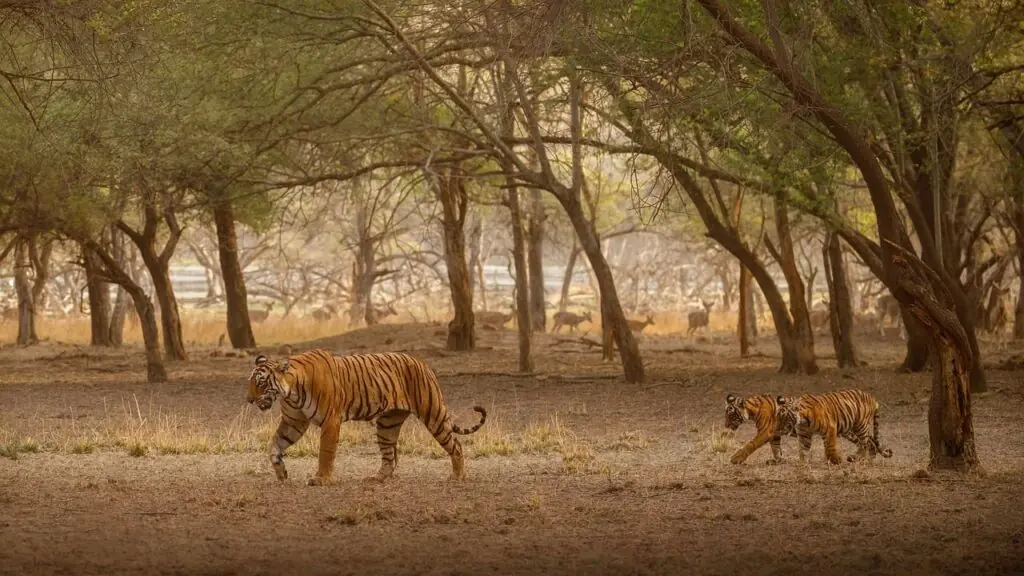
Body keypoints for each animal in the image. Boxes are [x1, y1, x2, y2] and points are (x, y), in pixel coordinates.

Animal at [247, 348, 487, 481]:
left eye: (261, 383)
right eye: (251, 382)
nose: (249, 399)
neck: (291, 392)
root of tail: (423, 363)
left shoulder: (330, 421)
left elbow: (325, 452)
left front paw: (321, 479)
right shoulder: (294, 422)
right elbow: (274, 445)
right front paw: (281, 473)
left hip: (433, 413)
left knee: (456, 445)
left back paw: (457, 476)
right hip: (387, 424)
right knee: (390, 456)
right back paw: (377, 478)